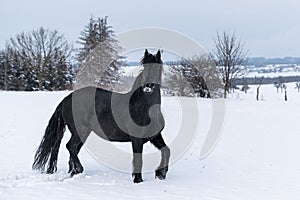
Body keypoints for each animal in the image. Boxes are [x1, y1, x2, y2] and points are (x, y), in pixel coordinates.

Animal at [32, 49, 171, 183]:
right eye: (144, 67)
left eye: (157, 67)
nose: (148, 87)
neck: (143, 107)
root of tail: (67, 98)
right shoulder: (136, 138)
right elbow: (138, 159)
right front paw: (138, 180)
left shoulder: (155, 135)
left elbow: (166, 150)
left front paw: (160, 174)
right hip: (79, 131)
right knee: (70, 147)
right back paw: (79, 169)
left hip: (84, 133)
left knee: (73, 149)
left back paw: (74, 172)